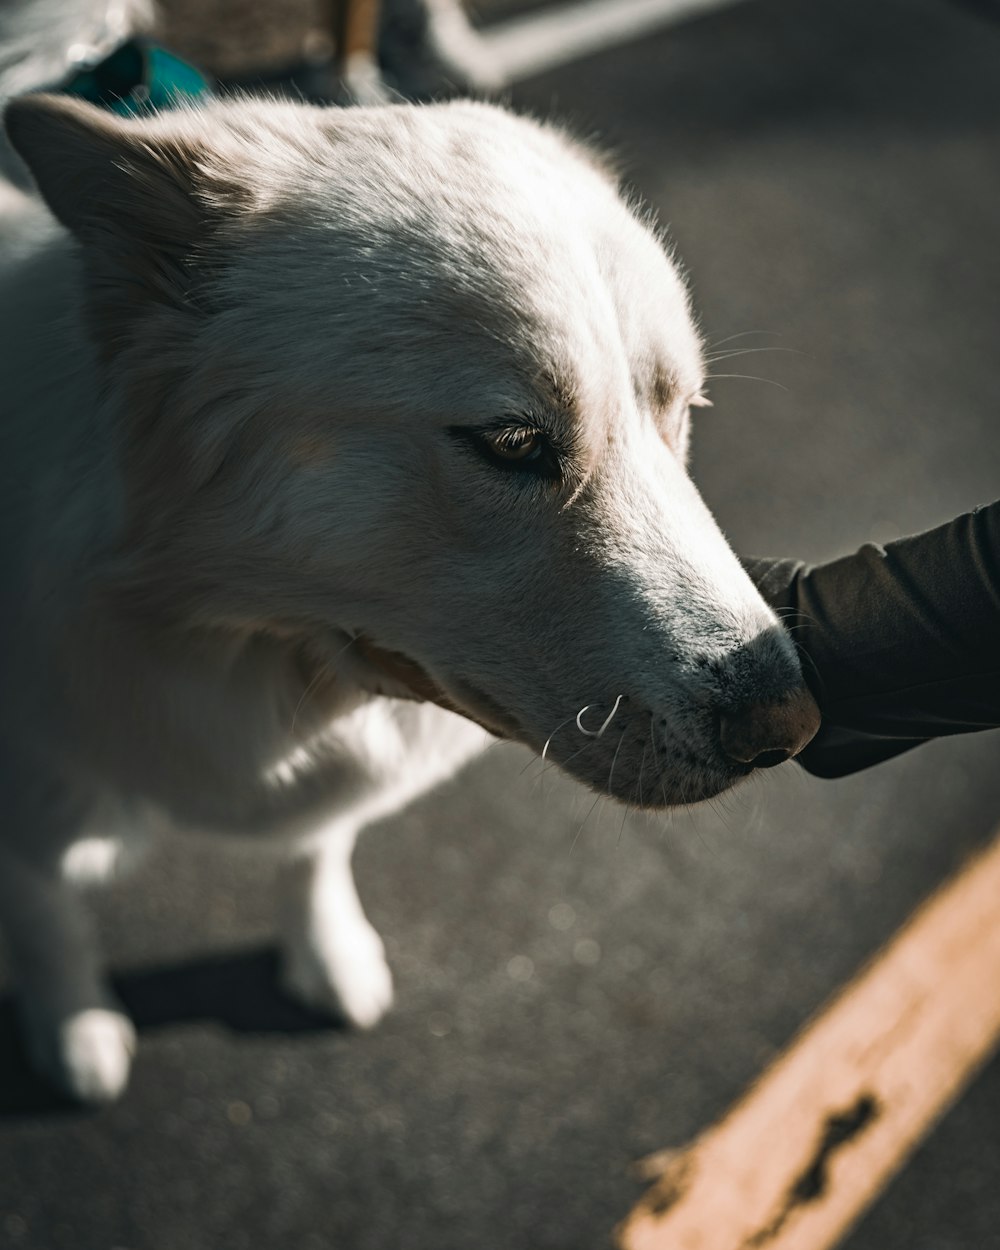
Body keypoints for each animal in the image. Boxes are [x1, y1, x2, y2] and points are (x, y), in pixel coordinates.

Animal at [0, 90, 820, 1105]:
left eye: (682, 416)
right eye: (512, 443)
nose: (789, 726)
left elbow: (316, 848)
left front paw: (328, 954)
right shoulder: (32, 800)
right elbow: (48, 917)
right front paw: (73, 1024)